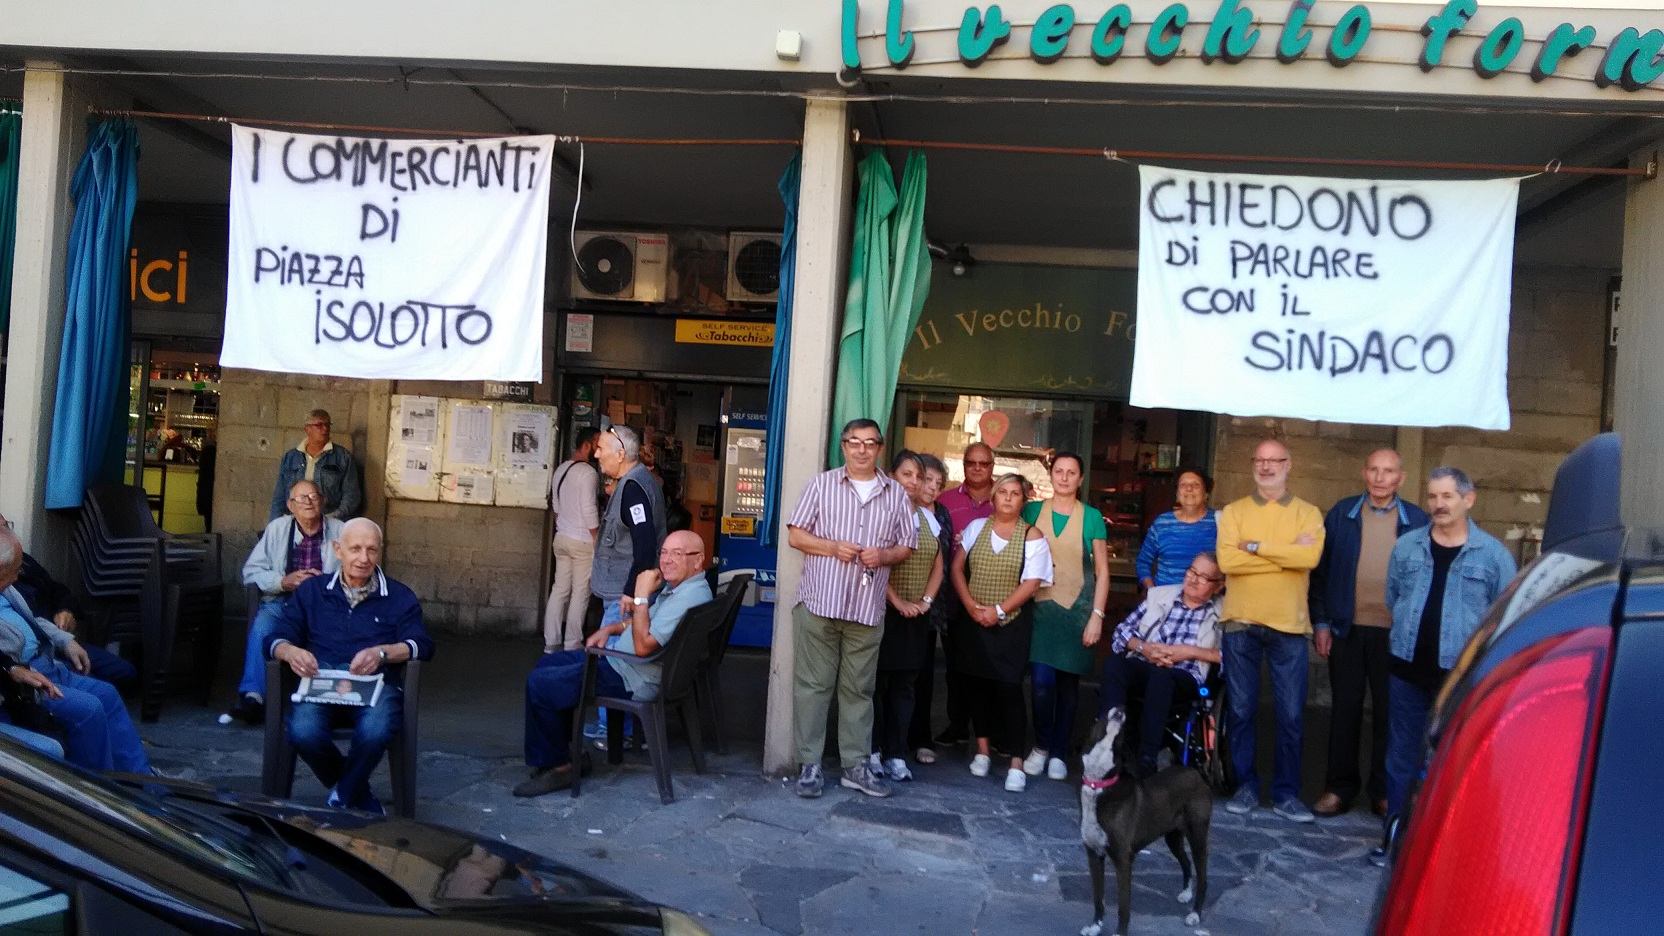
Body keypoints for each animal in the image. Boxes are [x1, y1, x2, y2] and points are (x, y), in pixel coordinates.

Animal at [1078, 706, 1211, 932]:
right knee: (1185, 862)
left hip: (1198, 836)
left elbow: (1123, 907)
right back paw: (1186, 893)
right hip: (1173, 836)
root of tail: (1194, 772)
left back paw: (1194, 914)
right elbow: (1098, 898)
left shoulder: (1123, 860)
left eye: (1122, 734)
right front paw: (1095, 927)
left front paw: (1119, 933)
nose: (1121, 708)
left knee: (1203, 877)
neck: (1100, 784)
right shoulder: (1094, 855)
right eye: (1100, 717)